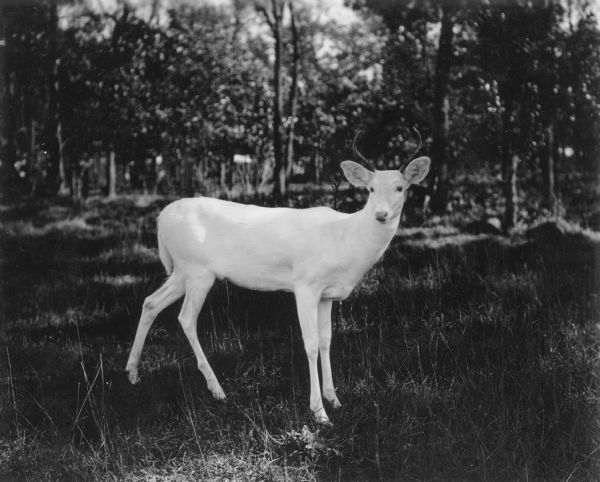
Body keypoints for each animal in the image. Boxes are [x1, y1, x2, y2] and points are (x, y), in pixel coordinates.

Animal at [124, 152, 428, 426]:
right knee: (185, 317)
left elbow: (327, 341)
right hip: (198, 270)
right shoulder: (305, 283)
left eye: (400, 187)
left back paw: (132, 372)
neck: (345, 240)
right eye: (370, 188)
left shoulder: (327, 294)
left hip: (182, 270)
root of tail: (161, 219)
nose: (381, 214)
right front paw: (319, 412)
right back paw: (217, 389)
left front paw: (334, 398)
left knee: (151, 301)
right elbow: (311, 344)